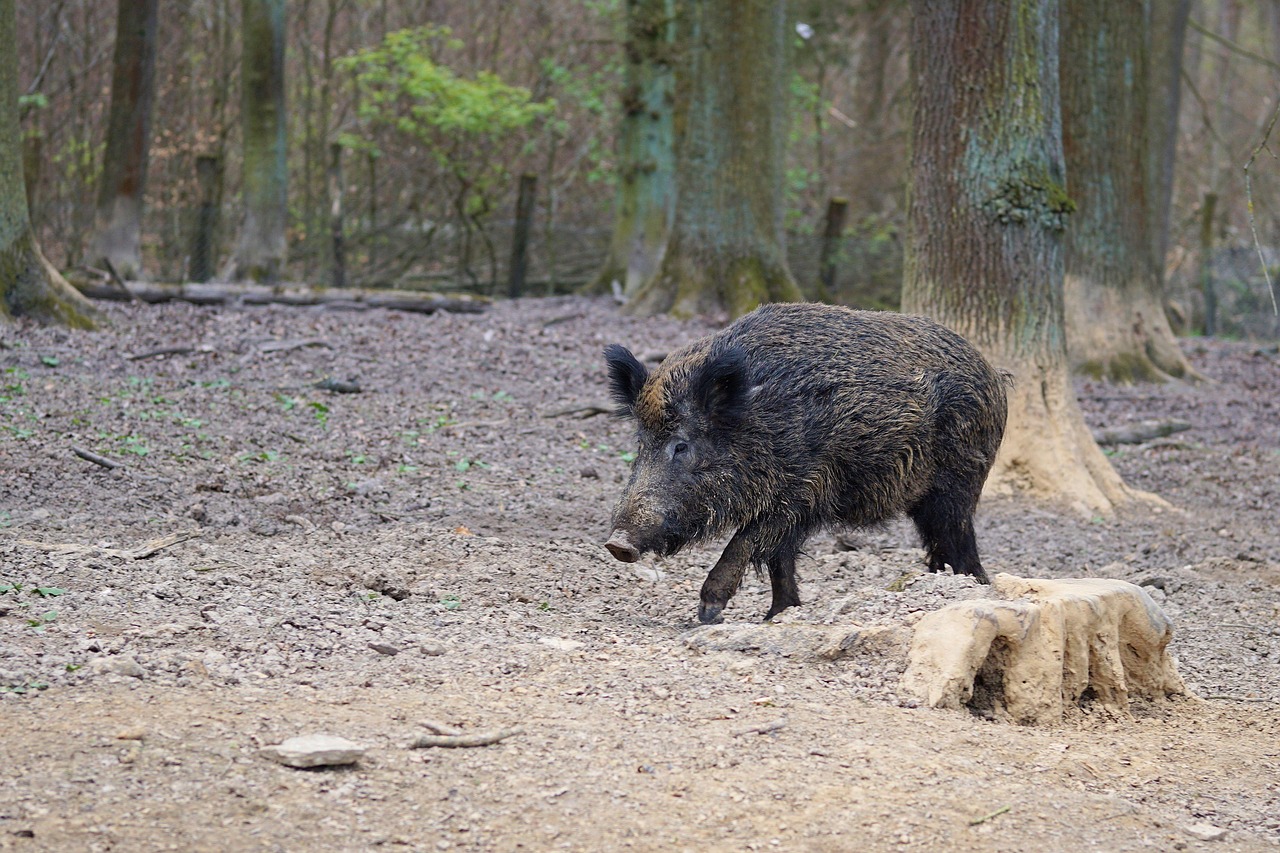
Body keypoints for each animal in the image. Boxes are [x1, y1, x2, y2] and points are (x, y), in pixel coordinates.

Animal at [602, 302, 1008, 624]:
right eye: (641, 443)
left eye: (681, 445)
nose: (617, 544)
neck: (758, 420)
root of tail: (993, 374)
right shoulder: (793, 507)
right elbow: (778, 559)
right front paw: (779, 614)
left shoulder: (801, 491)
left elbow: (746, 542)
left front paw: (708, 612)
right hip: (928, 500)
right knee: (941, 545)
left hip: (958, 482)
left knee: (960, 539)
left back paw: (975, 587)